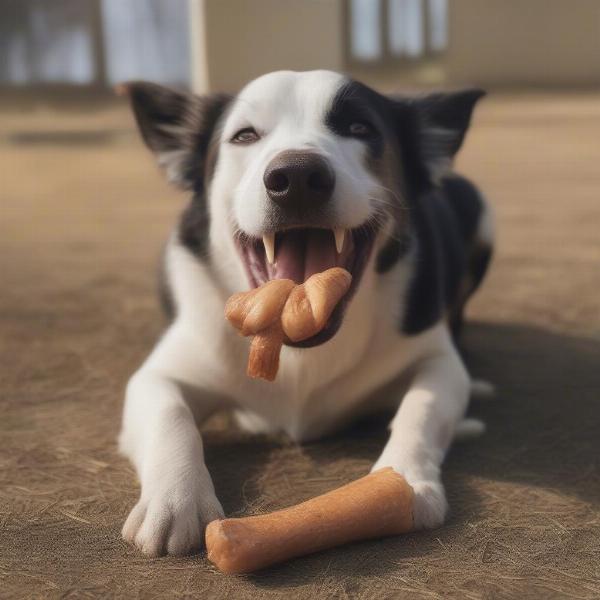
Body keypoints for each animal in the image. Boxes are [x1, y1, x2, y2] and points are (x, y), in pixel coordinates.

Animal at [117, 71, 492, 556]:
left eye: (359, 127)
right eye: (244, 135)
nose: (296, 176)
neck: (296, 350)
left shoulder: (435, 358)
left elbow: (423, 404)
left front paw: (405, 479)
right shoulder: (167, 367)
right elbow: (169, 412)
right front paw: (175, 499)